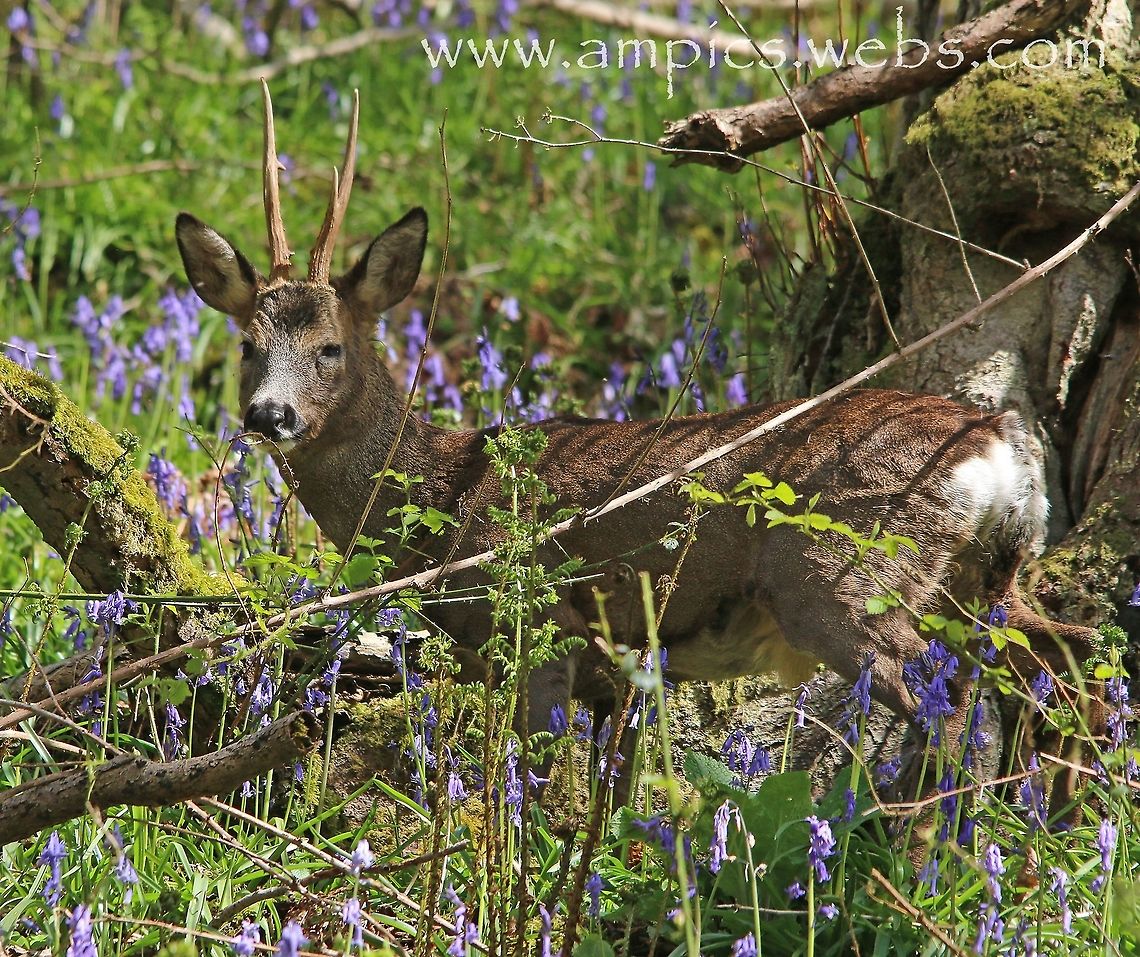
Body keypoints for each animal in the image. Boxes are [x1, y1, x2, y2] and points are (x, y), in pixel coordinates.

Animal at [175, 83, 1101, 816]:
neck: (443, 498)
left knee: (950, 713)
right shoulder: (618, 675)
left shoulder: (540, 633)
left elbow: (541, 791)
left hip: (844, 577)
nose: (269, 414)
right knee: (1064, 658)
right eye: (248, 344)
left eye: (331, 346)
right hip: (981, 578)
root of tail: (997, 443)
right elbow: (612, 800)